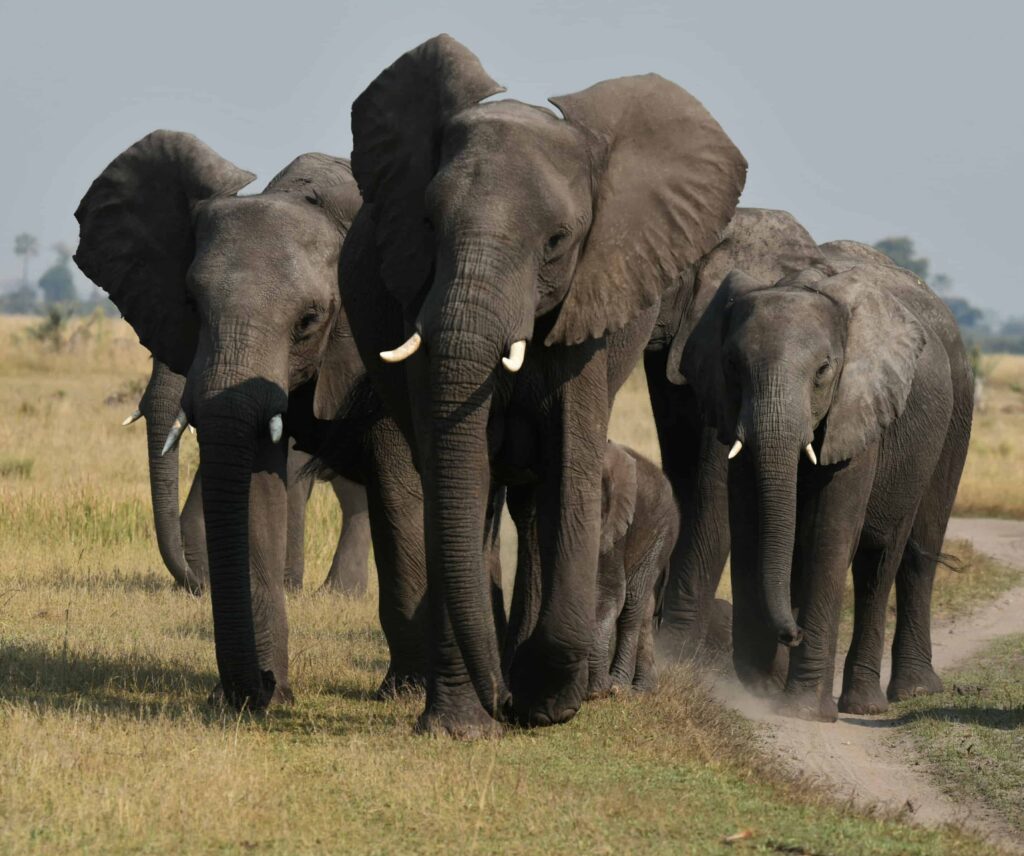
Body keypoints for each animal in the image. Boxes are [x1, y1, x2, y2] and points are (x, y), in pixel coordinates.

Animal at [124, 360, 372, 593]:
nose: (198, 587)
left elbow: (290, 473)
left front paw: (287, 588)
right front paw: (202, 578)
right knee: (354, 497)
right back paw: (341, 593)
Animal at [585, 444, 679, 700]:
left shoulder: (614, 527)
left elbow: (608, 594)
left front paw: (596, 691)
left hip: (662, 534)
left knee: (632, 603)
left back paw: (620, 687)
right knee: (644, 608)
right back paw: (642, 690)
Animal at [675, 248, 970, 720]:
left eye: (823, 370)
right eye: (732, 366)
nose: (791, 633)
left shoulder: (858, 409)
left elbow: (828, 535)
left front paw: (802, 710)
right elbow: (750, 526)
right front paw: (760, 691)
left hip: (953, 420)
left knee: (894, 558)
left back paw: (887, 700)